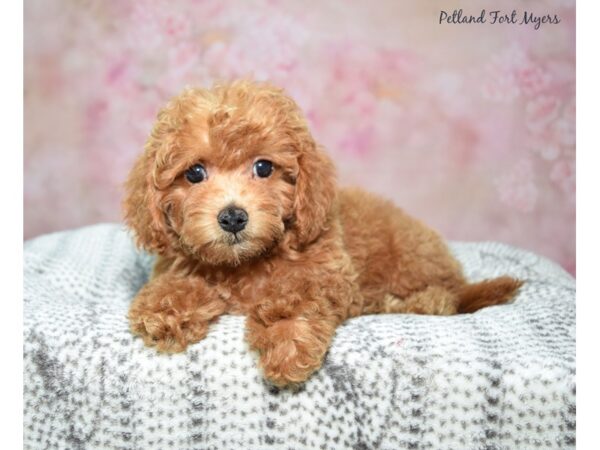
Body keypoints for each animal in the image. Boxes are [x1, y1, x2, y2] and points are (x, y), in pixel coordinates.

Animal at [124, 80, 524, 386]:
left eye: (263, 167)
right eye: (194, 173)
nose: (234, 217)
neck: (244, 263)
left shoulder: (329, 273)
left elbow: (297, 295)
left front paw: (286, 341)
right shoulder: (178, 263)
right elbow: (176, 283)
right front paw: (163, 309)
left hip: (413, 263)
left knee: (444, 298)